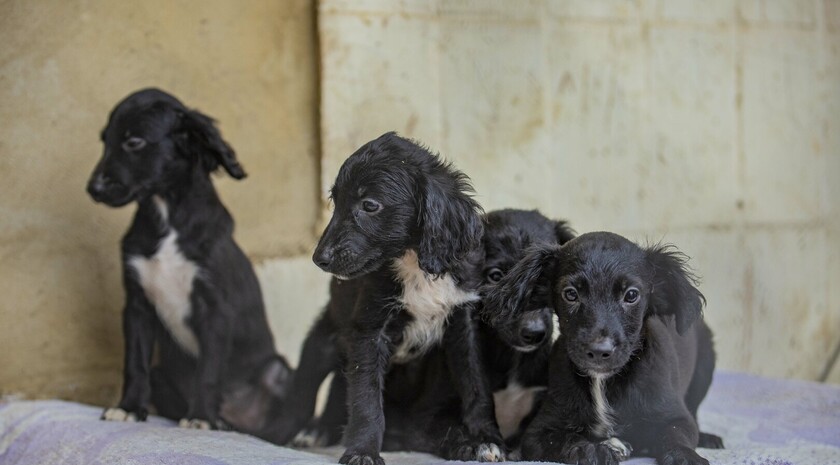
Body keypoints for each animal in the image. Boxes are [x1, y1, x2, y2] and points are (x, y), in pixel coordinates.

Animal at [88, 87, 292, 436]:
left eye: (134, 142)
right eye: (105, 140)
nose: (94, 188)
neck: (167, 214)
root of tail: (240, 420)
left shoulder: (215, 308)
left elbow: (208, 370)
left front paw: (202, 416)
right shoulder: (137, 306)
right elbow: (135, 363)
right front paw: (128, 408)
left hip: (278, 371)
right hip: (162, 374)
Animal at [482, 232, 724, 464]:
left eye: (631, 295)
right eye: (570, 294)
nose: (599, 351)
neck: (602, 382)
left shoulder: (676, 416)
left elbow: (676, 434)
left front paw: (684, 455)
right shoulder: (537, 432)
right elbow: (564, 440)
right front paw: (591, 450)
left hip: (705, 367)